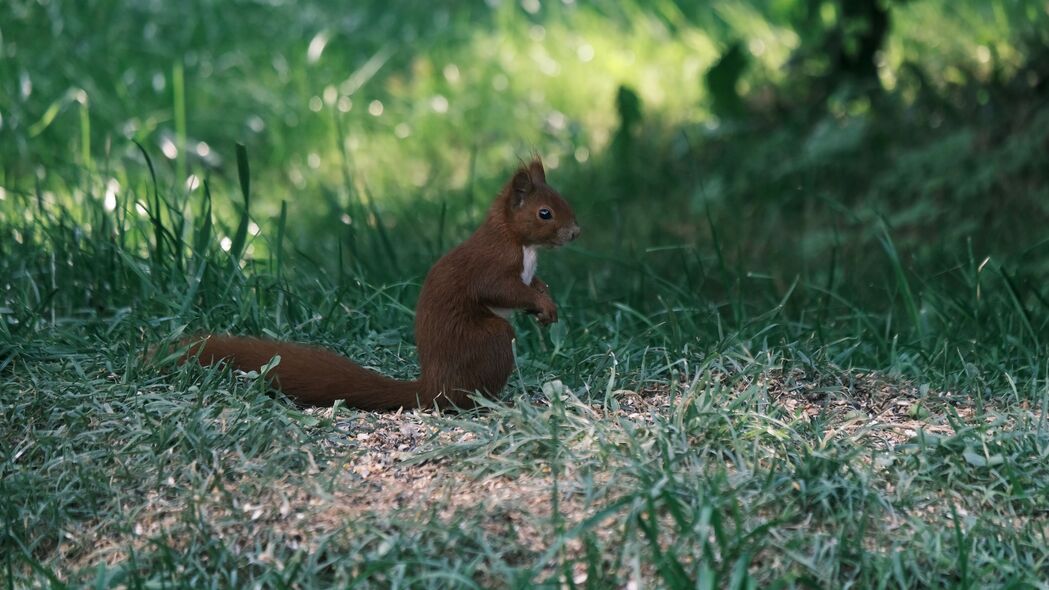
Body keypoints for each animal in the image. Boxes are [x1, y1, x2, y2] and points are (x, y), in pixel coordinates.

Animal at [188, 158, 583, 411]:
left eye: (564, 201)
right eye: (544, 213)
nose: (576, 232)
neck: (519, 242)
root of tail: (433, 387)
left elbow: (535, 284)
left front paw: (545, 302)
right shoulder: (491, 265)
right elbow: (502, 289)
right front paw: (542, 304)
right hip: (490, 338)